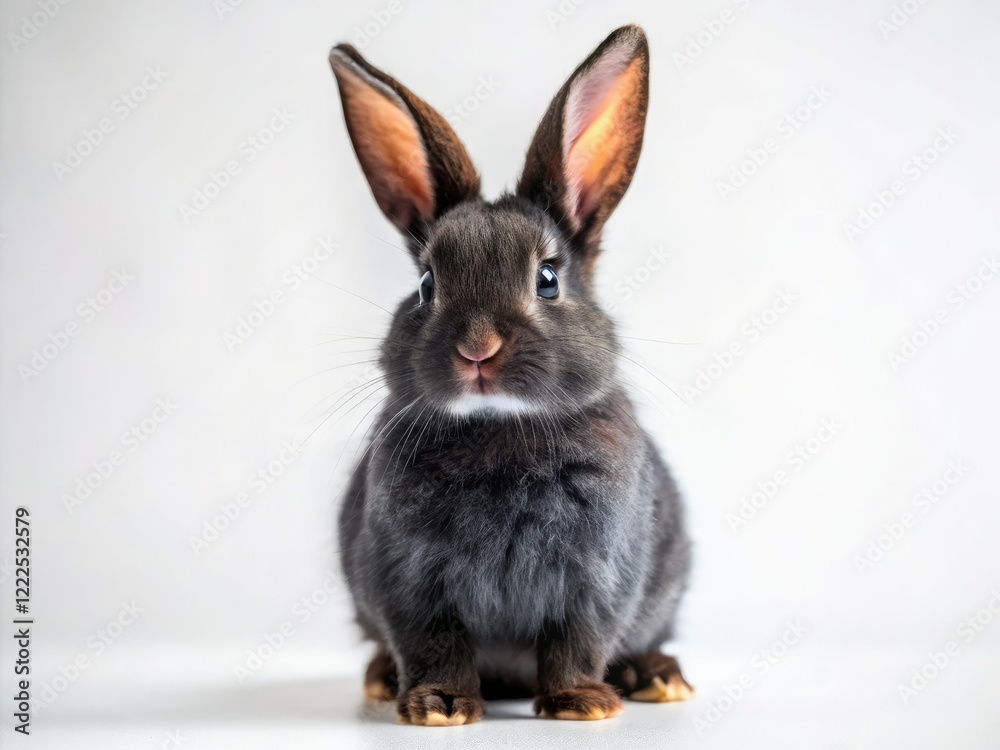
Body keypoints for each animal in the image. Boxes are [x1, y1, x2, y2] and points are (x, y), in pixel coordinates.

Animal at [328, 24, 692, 726]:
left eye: (547, 279)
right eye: (426, 284)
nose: (478, 348)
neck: (498, 429)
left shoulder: (596, 575)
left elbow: (578, 638)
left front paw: (581, 704)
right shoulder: (408, 578)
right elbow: (432, 642)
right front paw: (439, 707)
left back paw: (657, 678)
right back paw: (382, 681)